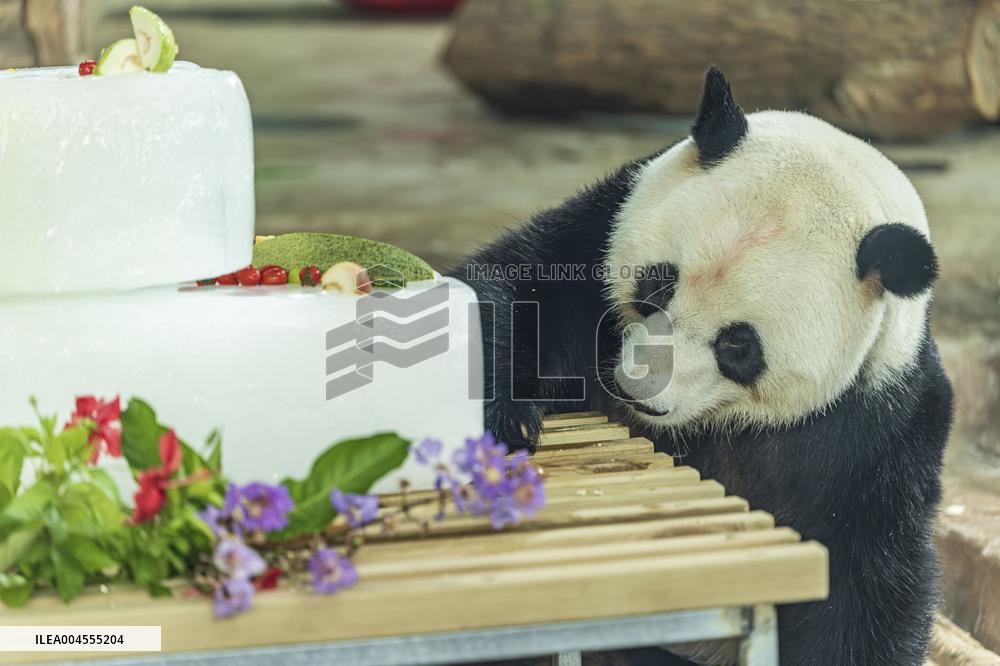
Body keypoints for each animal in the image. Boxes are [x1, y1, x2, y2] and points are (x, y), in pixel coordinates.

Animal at [450, 67, 954, 665]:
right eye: (658, 284)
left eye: (738, 346)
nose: (638, 389)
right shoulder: (597, 233)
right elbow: (511, 289)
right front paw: (503, 418)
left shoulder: (879, 433)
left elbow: (867, 587)